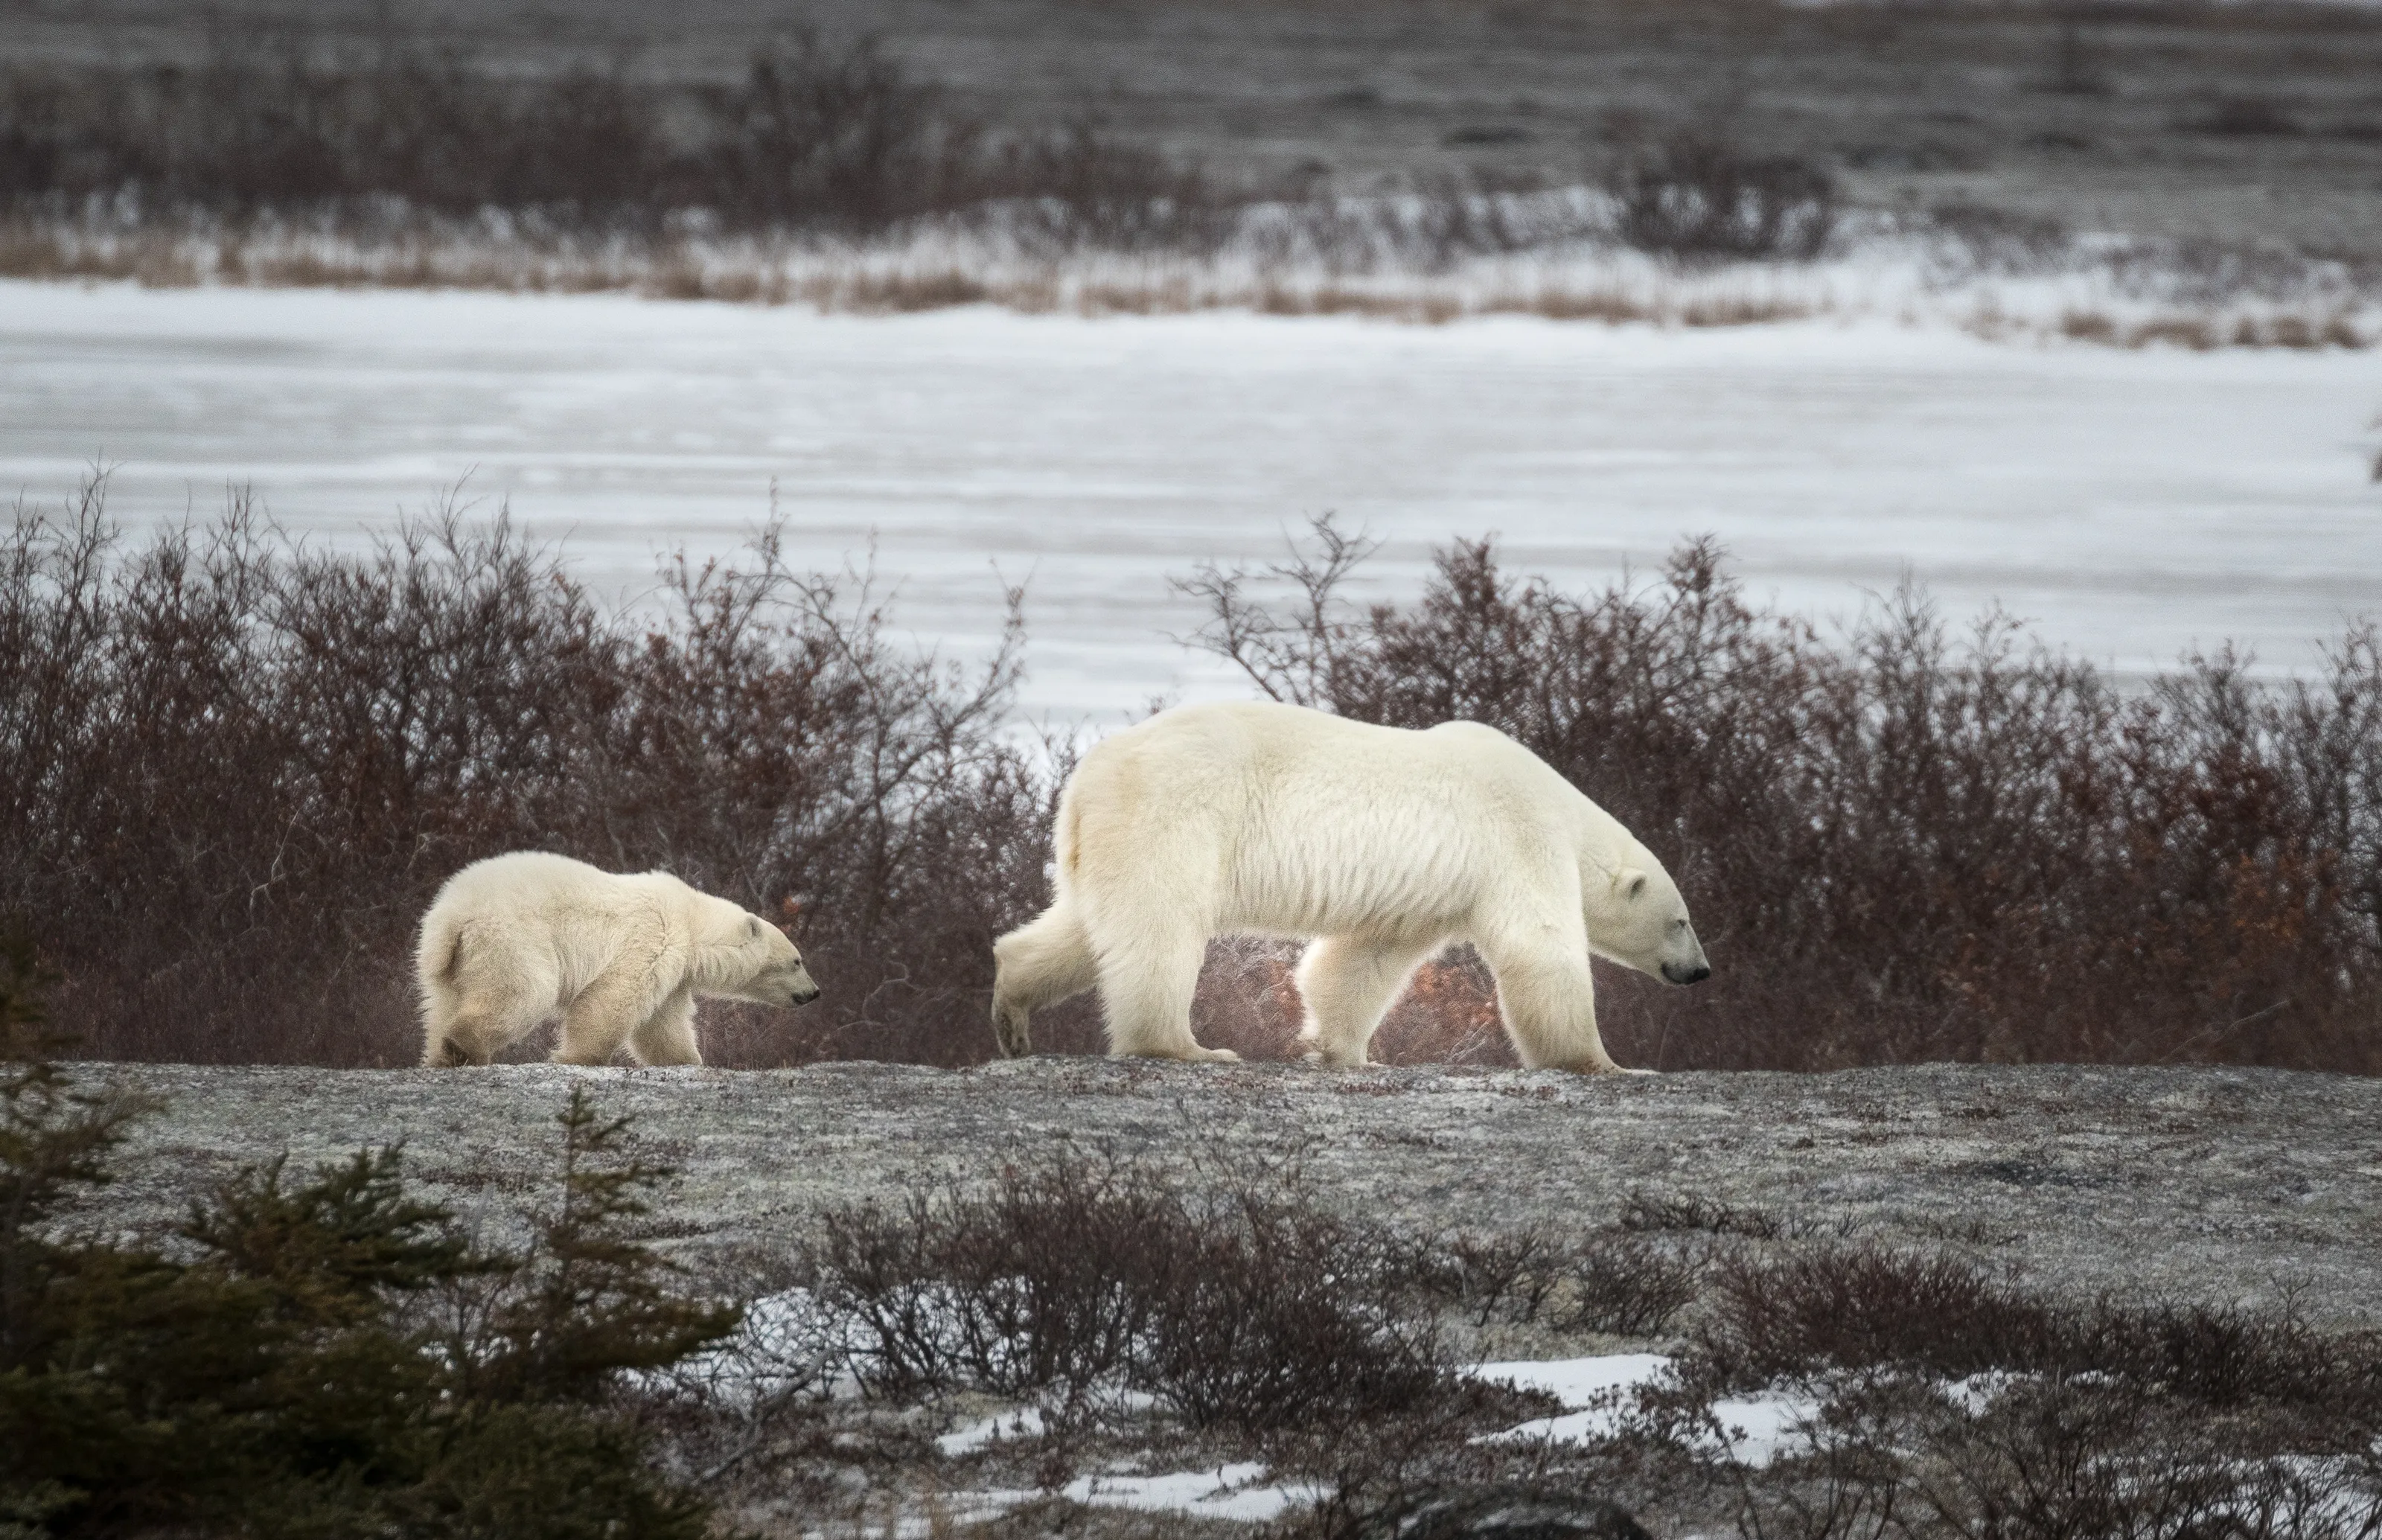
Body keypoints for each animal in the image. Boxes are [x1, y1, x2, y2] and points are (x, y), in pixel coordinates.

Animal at [415, 851, 819, 1067]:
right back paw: (464, 1046)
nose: (815, 992)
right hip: (514, 938)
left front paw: (687, 1061)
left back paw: (440, 1055)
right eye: (797, 961)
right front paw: (575, 1058)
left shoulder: (675, 972)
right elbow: (612, 998)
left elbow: (662, 1025)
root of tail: (453, 915)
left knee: (442, 1004)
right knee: (525, 992)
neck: (691, 920)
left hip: (451, 961)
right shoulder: (653, 939)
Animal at [990, 700, 1709, 1071]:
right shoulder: (1518, 838)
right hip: (1176, 813)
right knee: (1159, 930)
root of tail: (1085, 778)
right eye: (1681, 919)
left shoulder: (1426, 892)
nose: (1701, 970)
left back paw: (1012, 1012)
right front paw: (1610, 1062)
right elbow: (1541, 949)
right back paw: (1190, 1046)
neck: (1564, 809)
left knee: (1084, 928)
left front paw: (1344, 1050)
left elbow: (1363, 958)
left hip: (1112, 841)